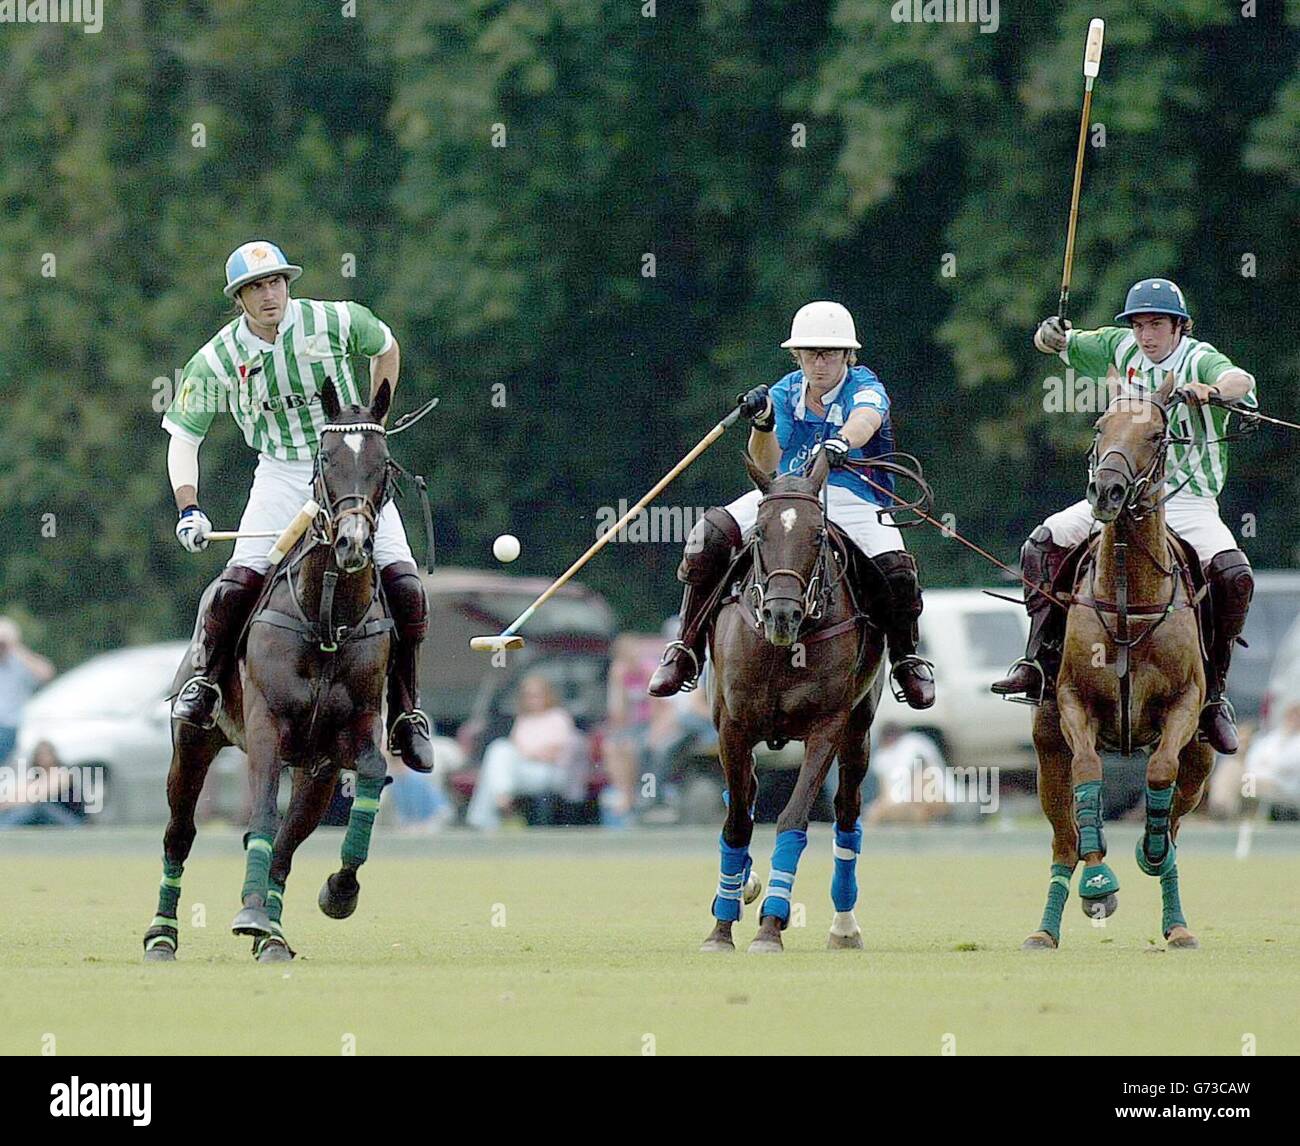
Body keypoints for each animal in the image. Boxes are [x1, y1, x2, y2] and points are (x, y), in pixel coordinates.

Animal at [142, 379, 400, 961]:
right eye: (326, 459)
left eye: (384, 463)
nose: (353, 544)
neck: (328, 617)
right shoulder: (267, 725)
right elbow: (259, 811)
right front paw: (251, 913)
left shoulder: (353, 731)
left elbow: (373, 773)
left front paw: (338, 892)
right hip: (194, 742)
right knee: (178, 832)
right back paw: (162, 936)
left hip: (316, 768)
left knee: (289, 837)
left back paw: (275, 936)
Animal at [696, 452, 889, 951]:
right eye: (761, 534)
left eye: (818, 534)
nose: (781, 614)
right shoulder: (733, 726)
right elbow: (737, 823)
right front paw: (720, 928)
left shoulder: (828, 726)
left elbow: (793, 819)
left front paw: (770, 925)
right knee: (743, 794)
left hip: (859, 729)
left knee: (847, 814)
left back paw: (844, 927)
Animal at [1024, 374, 1206, 945]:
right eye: (1100, 426)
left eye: (1156, 435)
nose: (1107, 491)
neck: (1128, 597)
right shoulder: (1072, 701)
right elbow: (1088, 772)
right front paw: (1099, 880)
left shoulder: (1186, 703)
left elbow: (1160, 771)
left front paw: (1148, 853)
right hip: (1046, 753)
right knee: (1063, 841)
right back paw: (1046, 930)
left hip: (1205, 757)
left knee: (1176, 825)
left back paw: (1178, 925)